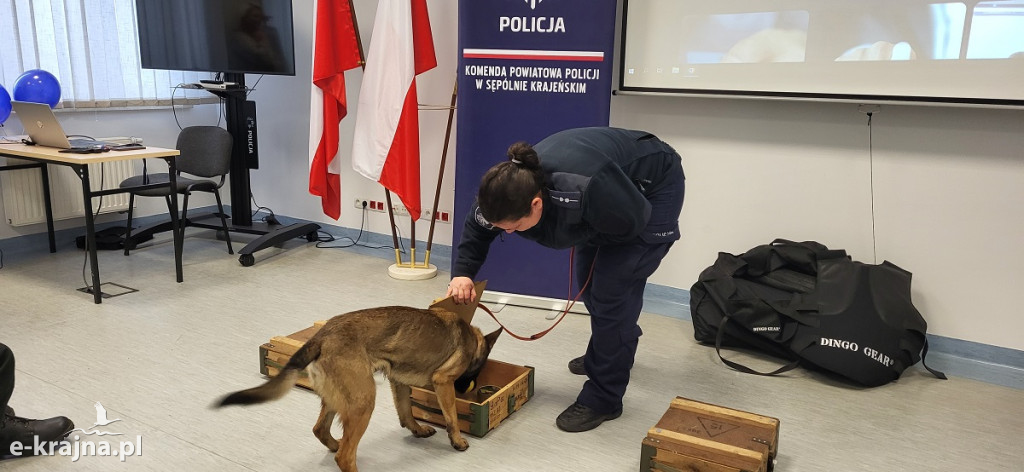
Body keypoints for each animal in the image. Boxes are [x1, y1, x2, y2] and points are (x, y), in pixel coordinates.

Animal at [217, 305, 503, 470]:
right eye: (476, 371)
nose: (466, 389)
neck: (471, 337)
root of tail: (321, 336)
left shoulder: (399, 382)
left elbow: (406, 412)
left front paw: (417, 430)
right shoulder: (443, 381)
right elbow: (452, 417)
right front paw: (457, 441)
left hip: (342, 399)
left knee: (322, 430)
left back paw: (335, 444)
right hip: (364, 401)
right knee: (345, 456)